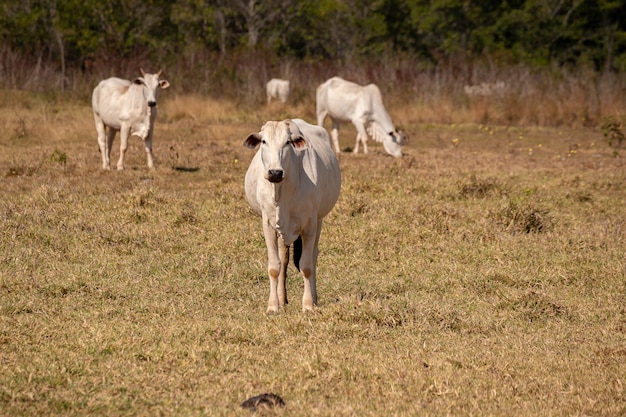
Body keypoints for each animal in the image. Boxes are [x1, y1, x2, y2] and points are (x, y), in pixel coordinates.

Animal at [244, 118, 342, 312]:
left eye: (287, 142)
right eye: (264, 141)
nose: (275, 172)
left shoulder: (310, 224)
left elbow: (306, 265)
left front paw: (308, 304)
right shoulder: (268, 224)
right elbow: (274, 266)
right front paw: (273, 306)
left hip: (319, 221)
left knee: (313, 256)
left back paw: (314, 298)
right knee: (284, 260)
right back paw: (282, 298)